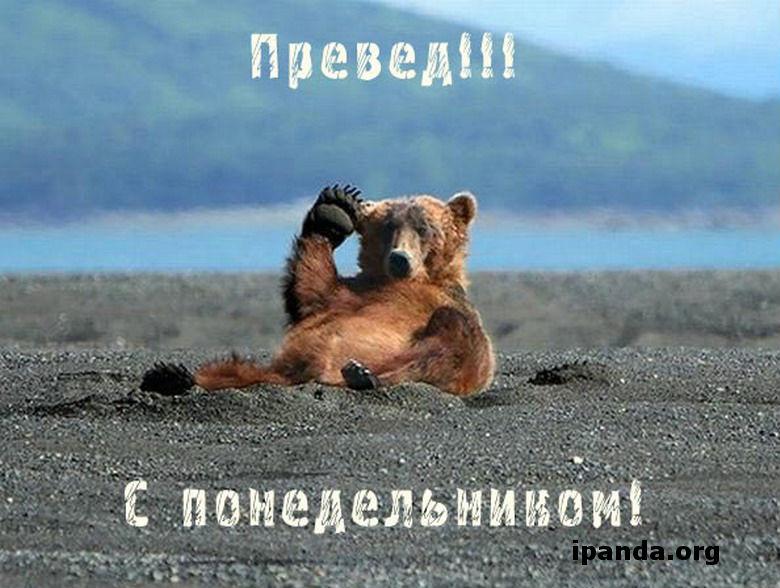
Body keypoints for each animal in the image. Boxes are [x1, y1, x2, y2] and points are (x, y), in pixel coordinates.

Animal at [141, 184, 495, 397]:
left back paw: (365, 374)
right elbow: (312, 287)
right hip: (271, 370)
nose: (399, 259)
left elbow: (465, 344)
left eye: (424, 228)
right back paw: (172, 376)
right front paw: (335, 209)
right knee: (234, 370)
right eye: (388, 227)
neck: (406, 282)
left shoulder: (445, 303)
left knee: (448, 340)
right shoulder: (348, 296)